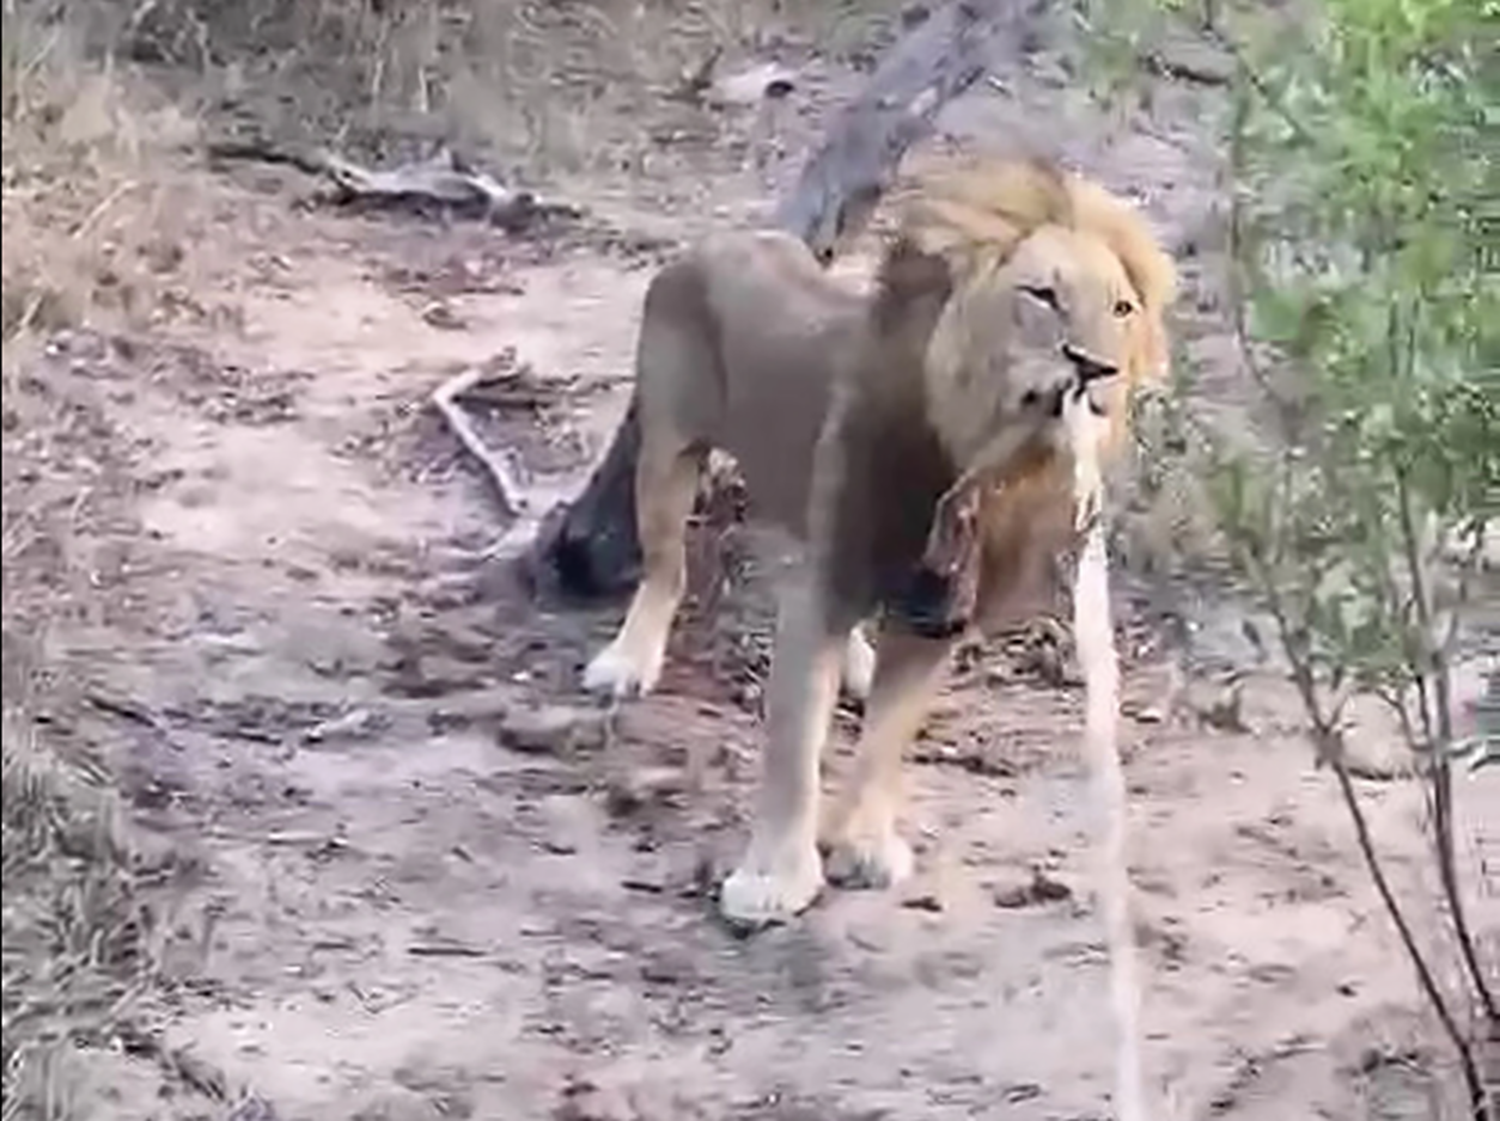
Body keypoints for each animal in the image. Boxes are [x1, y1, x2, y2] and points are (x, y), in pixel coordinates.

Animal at [579, 157, 1176, 930]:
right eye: (1042, 295)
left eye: (1122, 310)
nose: (1096, 368)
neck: (987, 462)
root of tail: (720, 240)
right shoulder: (825, 590)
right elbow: (795, 745)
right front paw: (774, 879)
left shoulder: (935, 620)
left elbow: (888, 738)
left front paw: (861, 843)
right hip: (667, 452)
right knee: (664, 569)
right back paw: (628, 661)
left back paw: (857, 665)